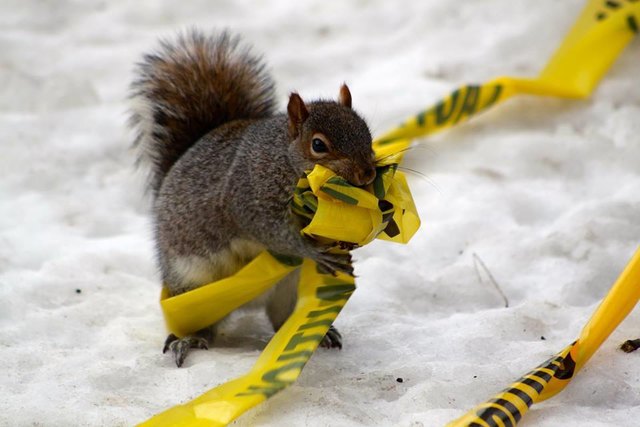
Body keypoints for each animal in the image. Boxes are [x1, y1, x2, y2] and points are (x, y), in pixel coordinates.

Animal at [130, 30, 376, 367]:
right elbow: (271, 231)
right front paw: (314, 252)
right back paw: (189, 339)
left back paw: (320, 333)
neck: (285, 159)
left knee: (282, 319)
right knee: (203, 325)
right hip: (193, 286)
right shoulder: (250, 198)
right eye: (318, 145)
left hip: (288, 289)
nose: (368, 174)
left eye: (367, 133)